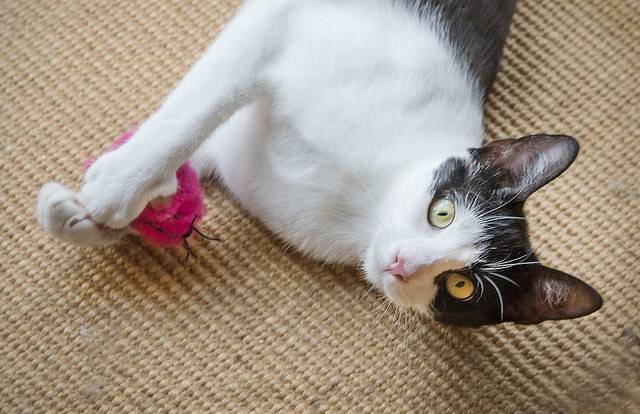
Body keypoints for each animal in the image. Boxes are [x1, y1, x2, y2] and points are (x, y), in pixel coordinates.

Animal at [37, 0, 604, 326]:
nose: (403, 264)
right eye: (442, 212)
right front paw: (115, 187)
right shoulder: (285, 25)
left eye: (461, 288)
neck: (364, 207)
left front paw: (92, 218)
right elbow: (197, 107)